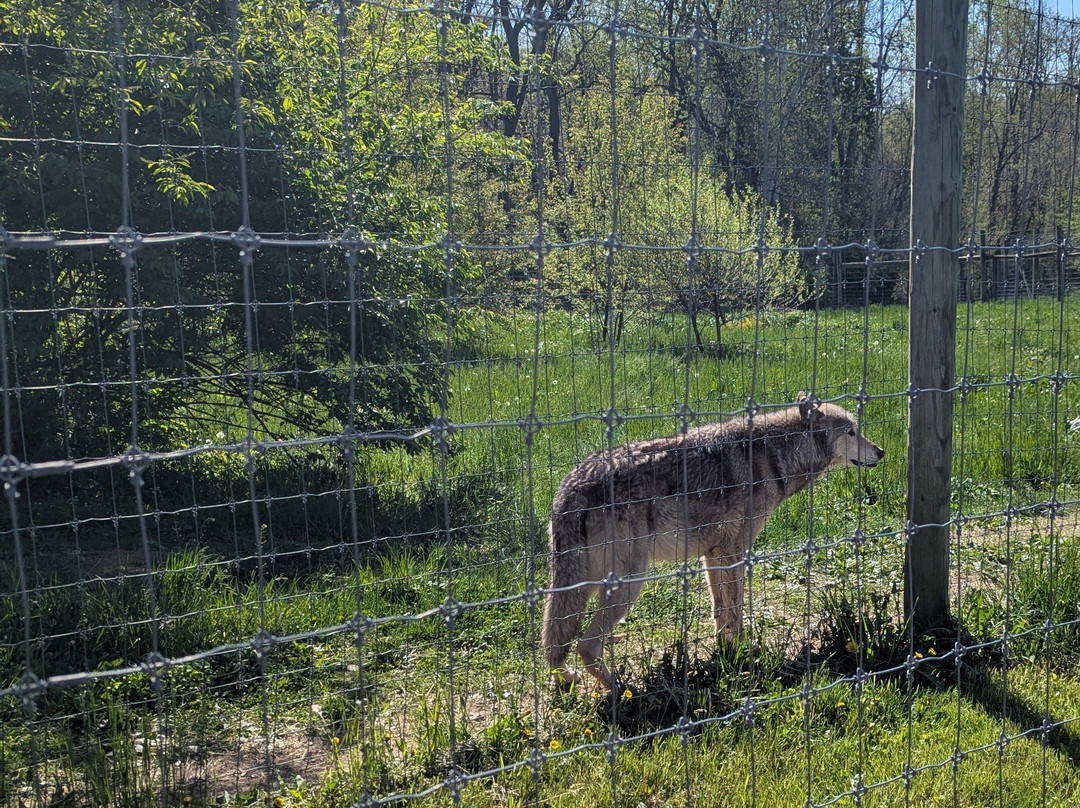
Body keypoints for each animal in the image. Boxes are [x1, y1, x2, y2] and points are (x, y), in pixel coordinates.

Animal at [540, 392, 884, 690]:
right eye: (851, 432)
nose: (881, 451)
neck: (775, 456)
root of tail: (570, 487)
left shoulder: (714, 555)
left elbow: (720, 613)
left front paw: (726, 656)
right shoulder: (735, 553)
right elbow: (736, 611)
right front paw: (745, 655)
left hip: (583, 586)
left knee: (555, 640)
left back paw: (567, 679)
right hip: (629, 584)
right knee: (586, 644)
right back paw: (620, 691)